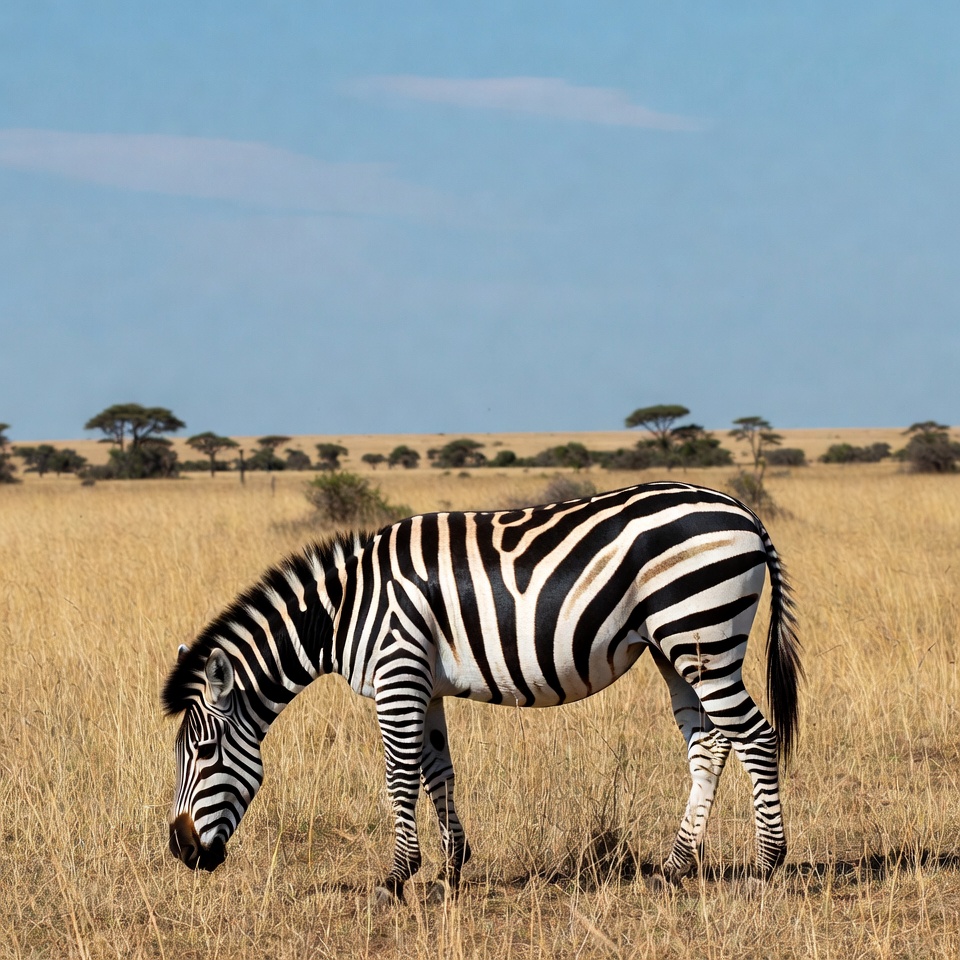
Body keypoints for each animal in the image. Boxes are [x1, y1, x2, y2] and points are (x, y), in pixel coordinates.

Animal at [163, 481, 801, 902]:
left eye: (203, 753)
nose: (181, 851)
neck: (342, 612)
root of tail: (743, 510)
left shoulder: (397, 672)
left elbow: (399, 776)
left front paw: (396, 879)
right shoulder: (425, 684)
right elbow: (437, 770)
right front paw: (451, 868)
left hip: (703, 630)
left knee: (756, 735)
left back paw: (767, 866)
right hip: (679, 649)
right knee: (709, 745)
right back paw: (676, 866)